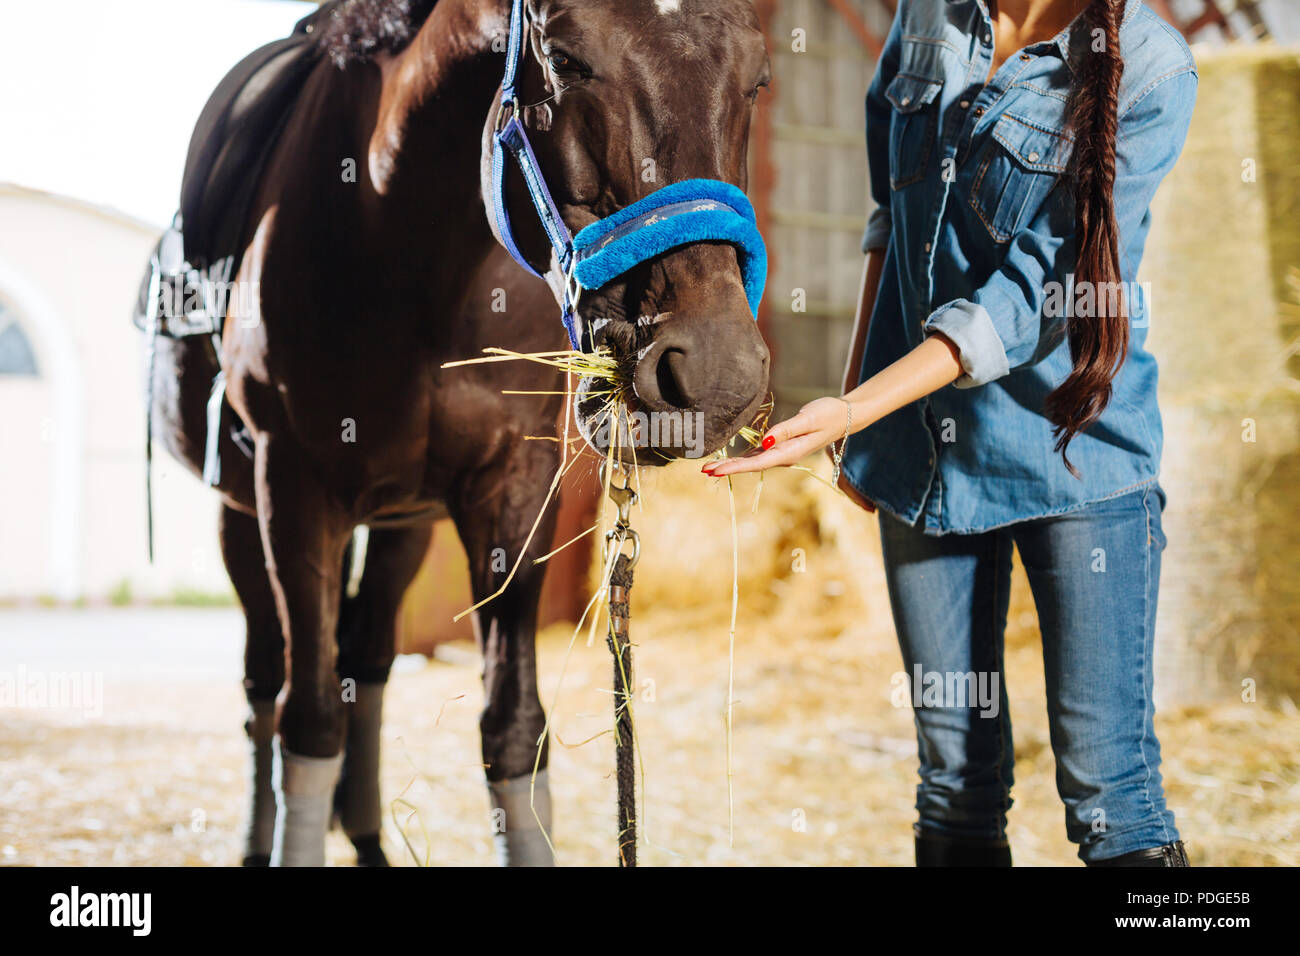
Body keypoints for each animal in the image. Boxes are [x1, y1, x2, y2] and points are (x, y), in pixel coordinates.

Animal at [148, 0, 772, 866]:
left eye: (758, 78)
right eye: (565, 59)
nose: (716, 373)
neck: (398, 237)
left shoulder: (511, 493)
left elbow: (512, 730)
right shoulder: (293, 493)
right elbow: (309, 723)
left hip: (403, 524)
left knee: (368, 659)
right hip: (241, 518)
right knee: (266, 686)